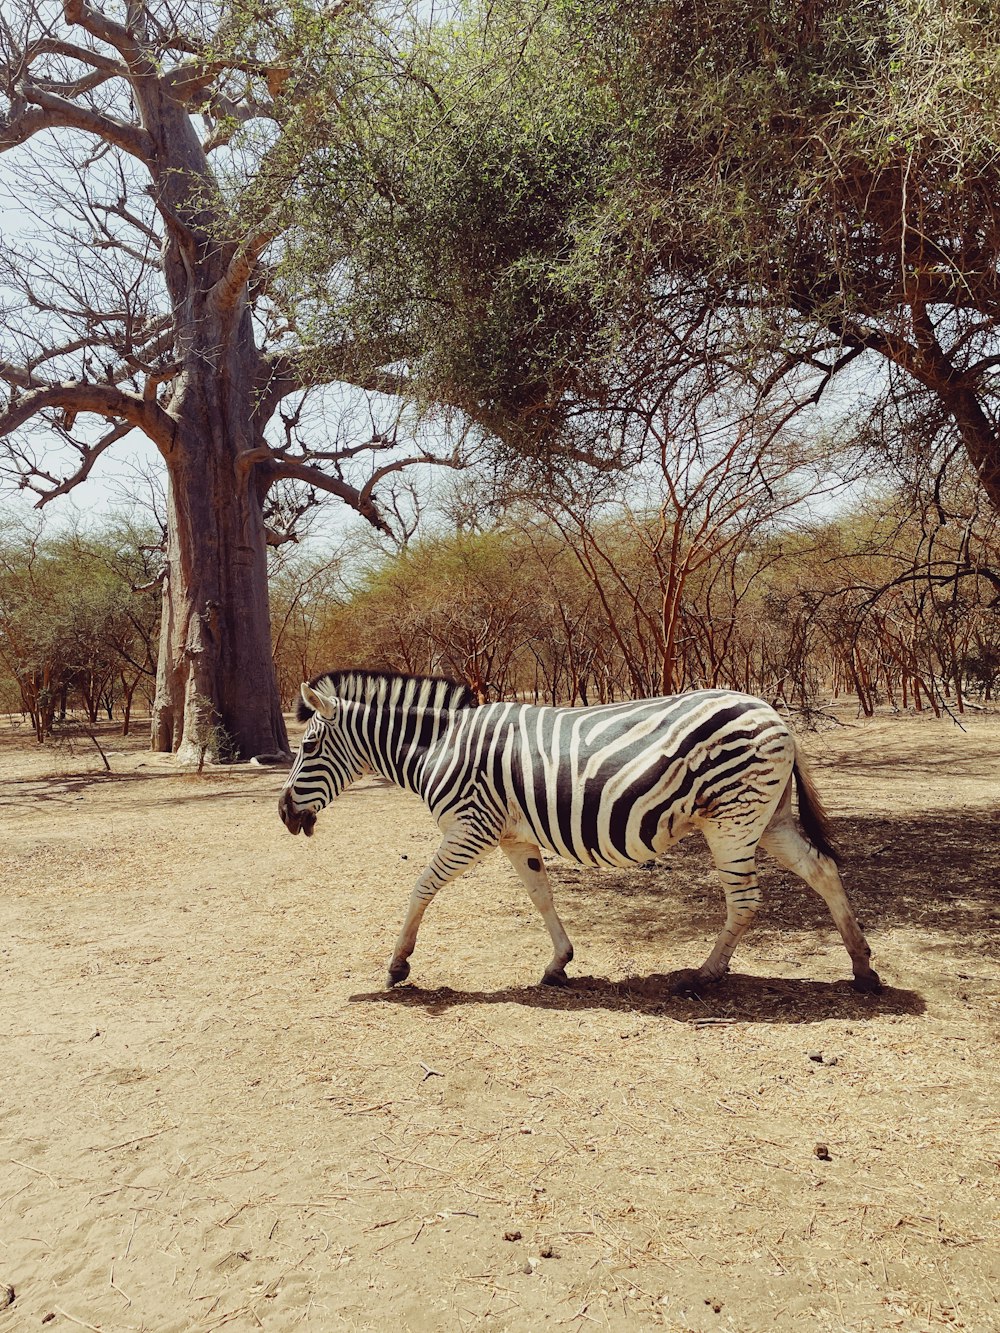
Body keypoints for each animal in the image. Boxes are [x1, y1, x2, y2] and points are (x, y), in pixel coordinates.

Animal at [278, 671, 880, 997]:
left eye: (307, 748)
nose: (283, 814)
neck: (440, 746)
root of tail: (774, 714)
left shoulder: (471, 828)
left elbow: (421, 887)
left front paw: (398, 964)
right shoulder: (514, 837)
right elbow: (541, 896)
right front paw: (559, 962)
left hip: (732, 821)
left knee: (746, 900)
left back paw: (703, 975)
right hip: (766, 818)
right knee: (823, 870)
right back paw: (862, 966)